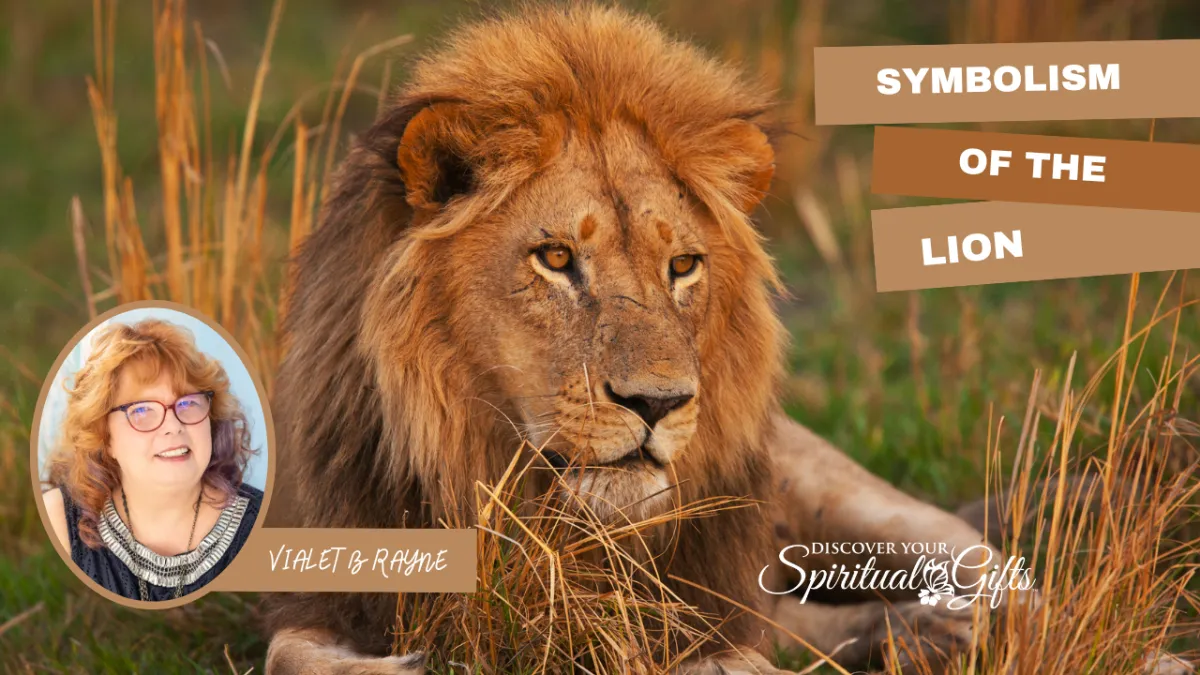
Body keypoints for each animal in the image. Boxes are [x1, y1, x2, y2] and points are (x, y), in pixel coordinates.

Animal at [259, 4, 1014, 673]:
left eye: (681, 266)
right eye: (556, 258)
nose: (658, 403)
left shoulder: (715, 615)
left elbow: (737, 655)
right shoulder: (330, 583)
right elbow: (287, 653)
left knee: (992, 566)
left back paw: (962, 627)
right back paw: (917, 635)